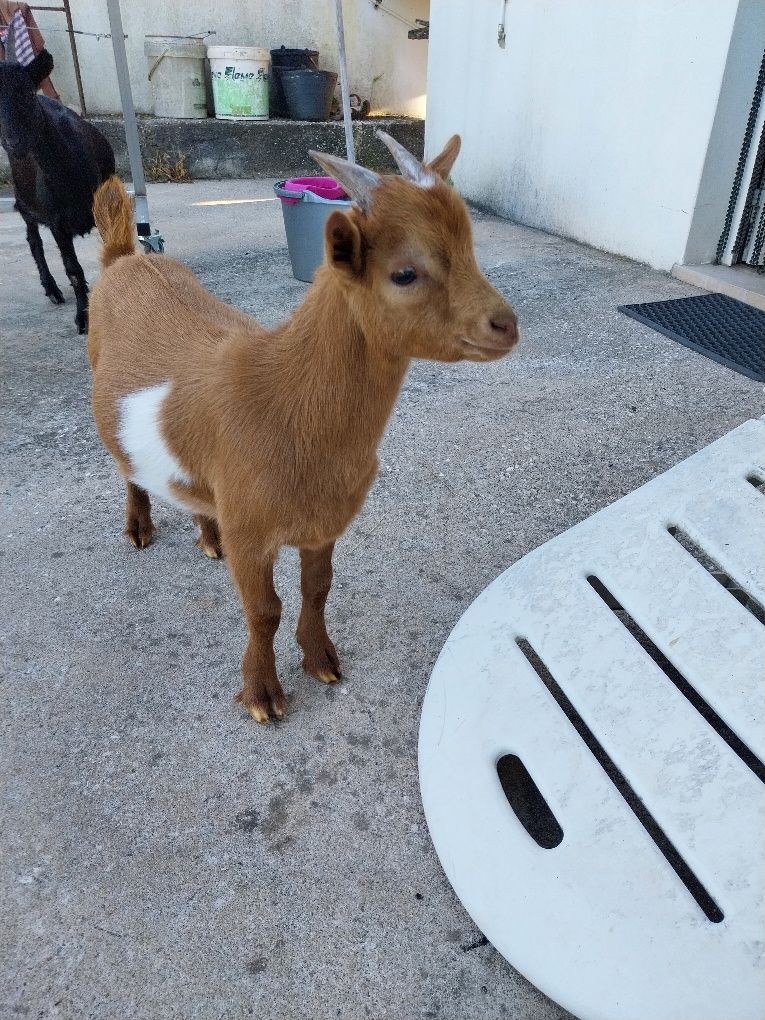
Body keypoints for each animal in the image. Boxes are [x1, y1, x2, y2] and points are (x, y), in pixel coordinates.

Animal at [0, 34, 115, 330]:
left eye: (28, 93)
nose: (14, 143)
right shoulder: (56, 221)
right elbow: (72, 268)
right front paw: (83, 318)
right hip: (24, 202)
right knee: (33, 240)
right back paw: (51, 289)